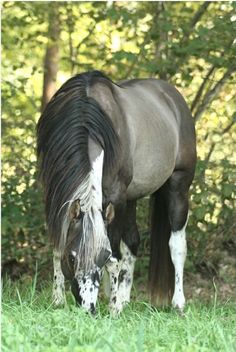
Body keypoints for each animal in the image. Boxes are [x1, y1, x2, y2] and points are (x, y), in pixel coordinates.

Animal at [36, 70, 195, 314]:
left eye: (101, 257)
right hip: (131, 198)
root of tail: (175, 99)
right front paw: (58, 300)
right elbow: (58, 245)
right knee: (132, 243)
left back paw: (177, 303)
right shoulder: (54, 196)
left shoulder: (115, 198)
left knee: (177, 245)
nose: (89, 309)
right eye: (72, 258)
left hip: (178, 185)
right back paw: (125, 298)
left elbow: (115, 258)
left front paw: (113, 307)